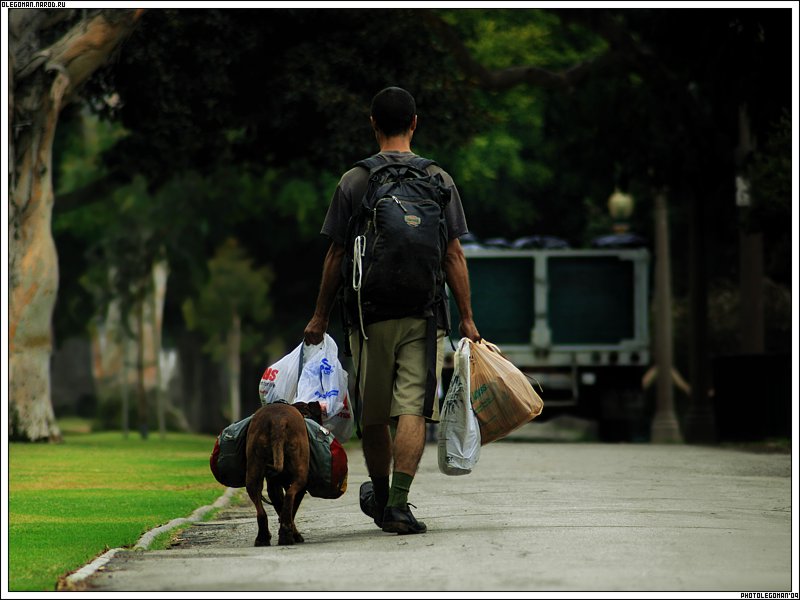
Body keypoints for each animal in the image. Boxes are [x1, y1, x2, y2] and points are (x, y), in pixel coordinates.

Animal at [244, 400, 322, 548]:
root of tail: (277, 420)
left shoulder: (274, 486)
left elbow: (280, 505)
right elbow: (292, 508)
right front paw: (294, 534)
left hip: (253, 469)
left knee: (260, 506)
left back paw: (263, 537)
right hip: (301, 473)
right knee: (290, 496)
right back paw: (286, 534)